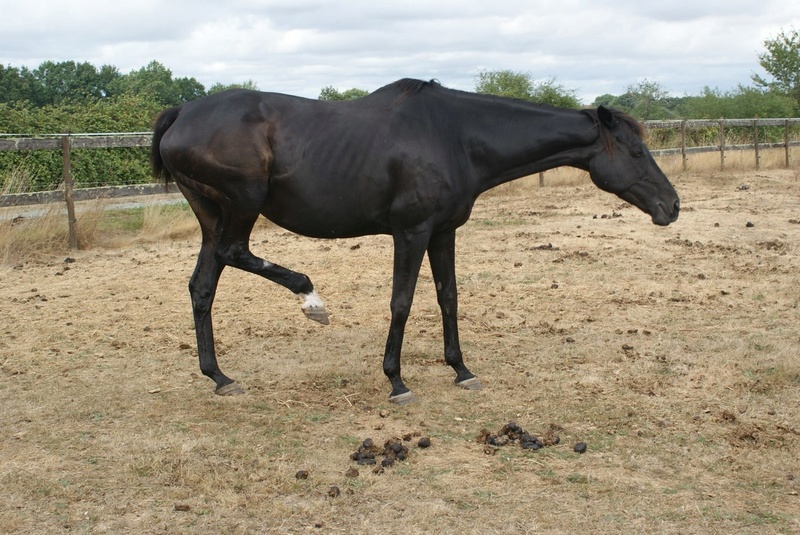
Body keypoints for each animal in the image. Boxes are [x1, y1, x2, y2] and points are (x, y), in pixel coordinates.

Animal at [148, 79, 676, 404]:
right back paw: (311, 299)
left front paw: (461, 370)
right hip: (241, 206)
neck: (456, 137)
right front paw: (396, 381)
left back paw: (219, 377)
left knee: (202, 287)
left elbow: (448, 297)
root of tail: (181, 113)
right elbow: (401, 301)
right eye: (636, 152)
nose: (671, 206)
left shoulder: (443, 231)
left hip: (212, 215)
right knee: (235, 254)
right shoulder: (412, 232)